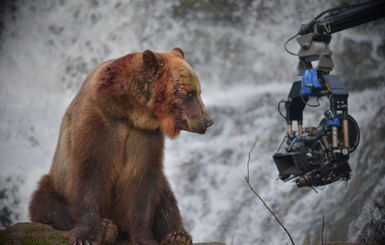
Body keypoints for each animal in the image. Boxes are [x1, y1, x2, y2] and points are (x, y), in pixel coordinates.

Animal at [27, 48, 213, 245]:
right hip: (56, 181)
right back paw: (107, 228)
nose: (208, 121)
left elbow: (142, 185)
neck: (128, 112)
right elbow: (90, 174)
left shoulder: (144, 137)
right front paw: (87, 236)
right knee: (47, 201)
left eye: (199, 92)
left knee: (166, 197)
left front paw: (145, 237)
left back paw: (177, 235)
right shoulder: (98, 125)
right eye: (190, 94)